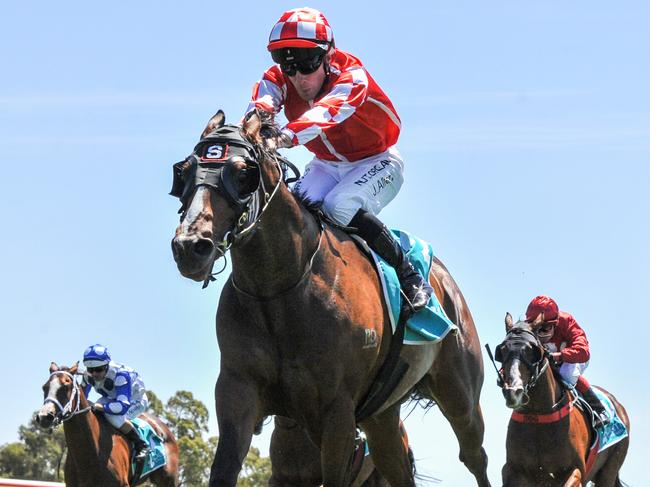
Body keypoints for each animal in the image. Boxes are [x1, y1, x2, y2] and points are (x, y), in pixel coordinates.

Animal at [170, 111, 488, 487]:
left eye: (242, 174)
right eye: (183, 172)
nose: (191, 246)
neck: (278, 287)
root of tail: (445, 281)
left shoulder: (337, 412)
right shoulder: (238, 392)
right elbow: (224, 468)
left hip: (461, 395)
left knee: (475, 456)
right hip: (382, 420)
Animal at [492, 314, 628, 486]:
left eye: (532, 350)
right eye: (502, 350)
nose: (513, 391)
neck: (539, 416)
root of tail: (619, 407)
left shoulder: (576, 471)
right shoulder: (514, 471)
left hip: (609, 469)